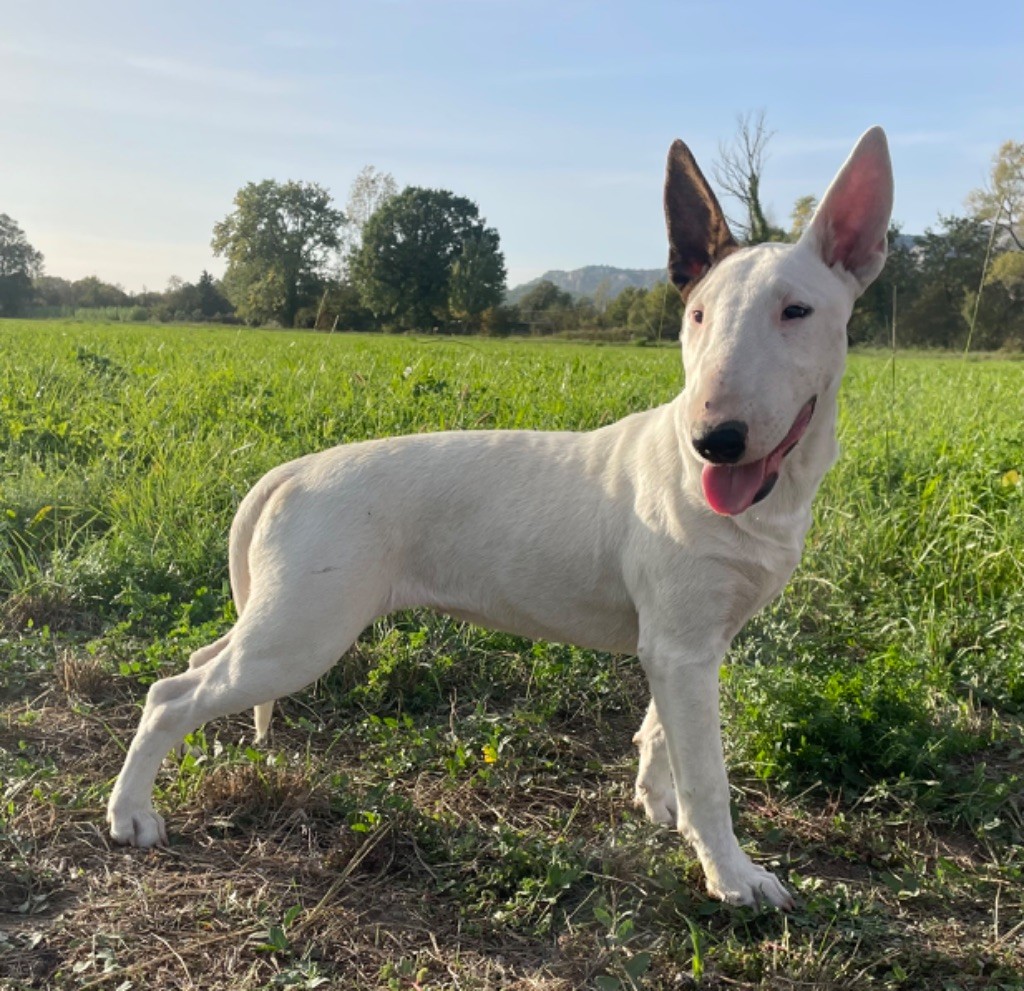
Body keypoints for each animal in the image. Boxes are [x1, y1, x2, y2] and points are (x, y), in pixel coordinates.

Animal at [112, 127, 892, 909]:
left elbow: (661, 735)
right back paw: (131, 814)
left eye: (797, 312)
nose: (715, 439)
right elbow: (710, 779)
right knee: (170, 694)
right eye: (696, 316)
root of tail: (292, 472)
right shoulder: (681, 647)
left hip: (280, 618)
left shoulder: (690, 645)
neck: (765, 497)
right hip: (303, 632)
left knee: (197, 664)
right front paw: (734, 877)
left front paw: (657, 805)